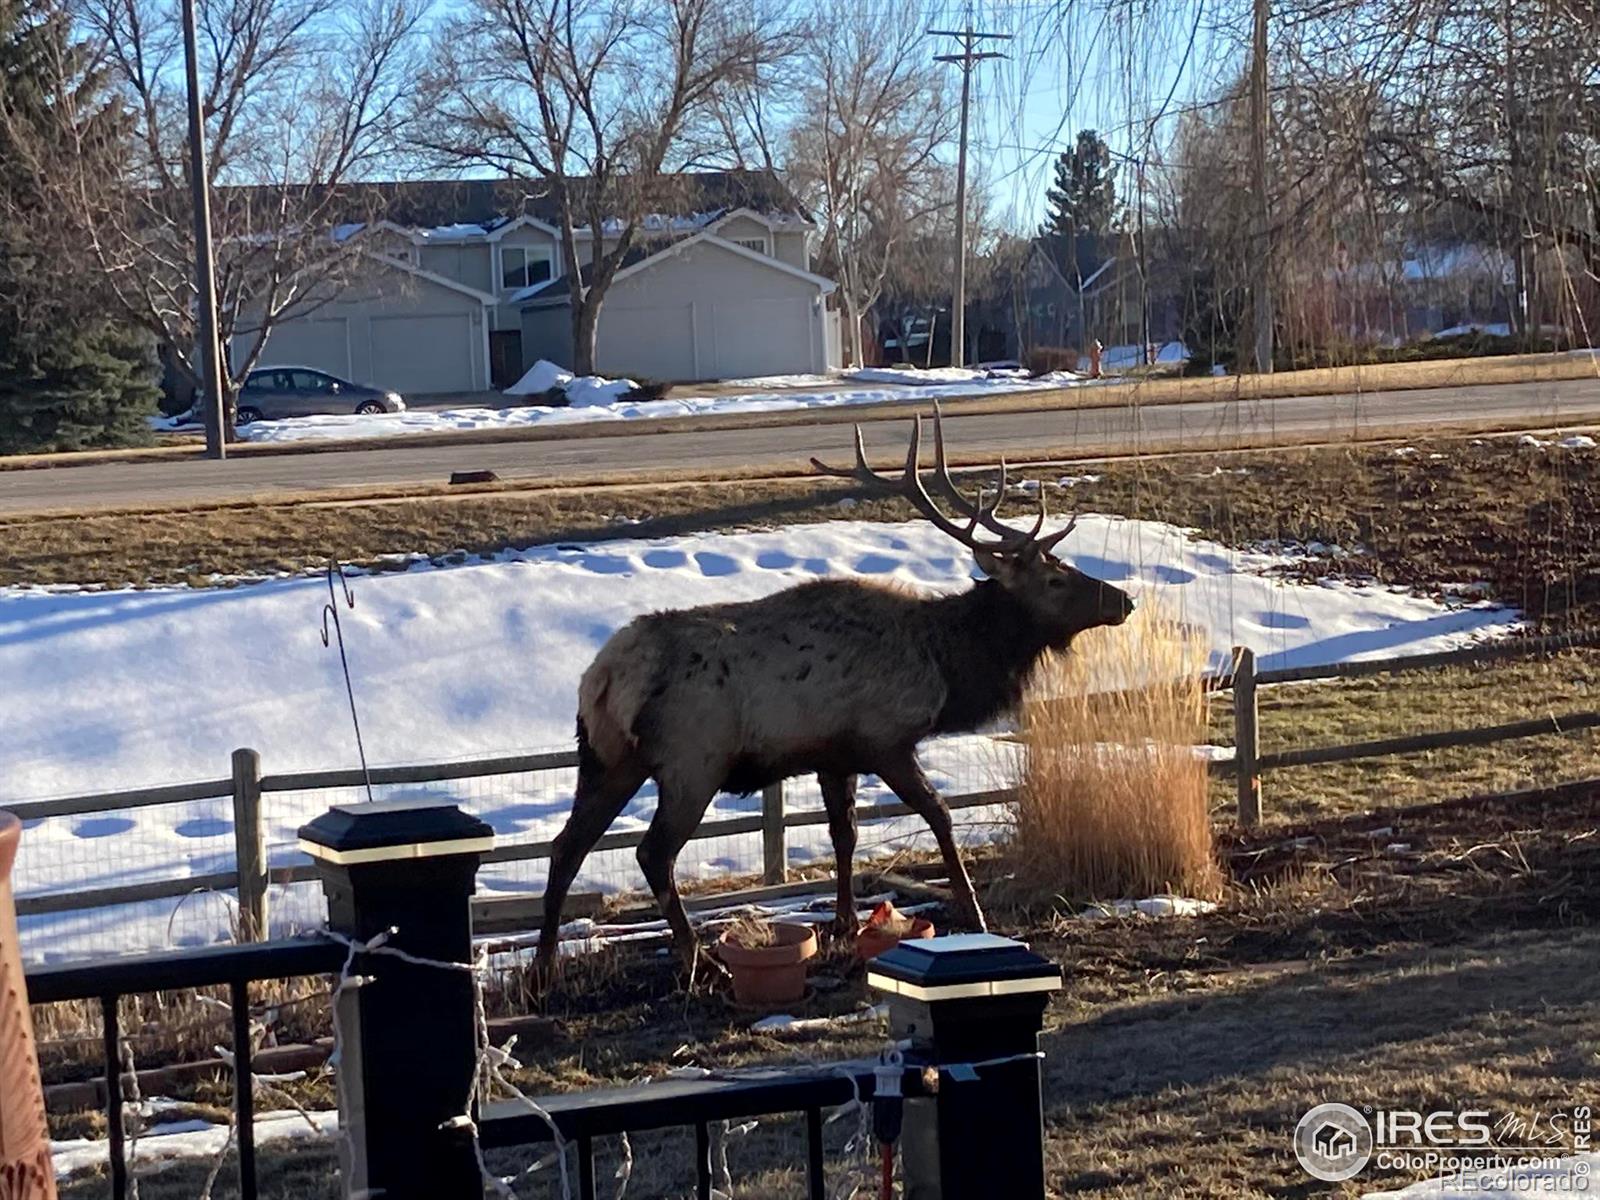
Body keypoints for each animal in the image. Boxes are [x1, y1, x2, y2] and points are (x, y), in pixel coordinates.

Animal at [537, 409, 1139, 979]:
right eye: (1055, 581)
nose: (1123, 599)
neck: (946, 665)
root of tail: (604, 677)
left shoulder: (833, 755)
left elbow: (843, 835)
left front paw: (846, 922)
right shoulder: (885, 740)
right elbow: (939, 814)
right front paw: (972, 909)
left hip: (607, 758)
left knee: (568, 845)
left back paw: (545, 968)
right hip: (692, 761)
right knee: (652, 852)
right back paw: (697, 960)